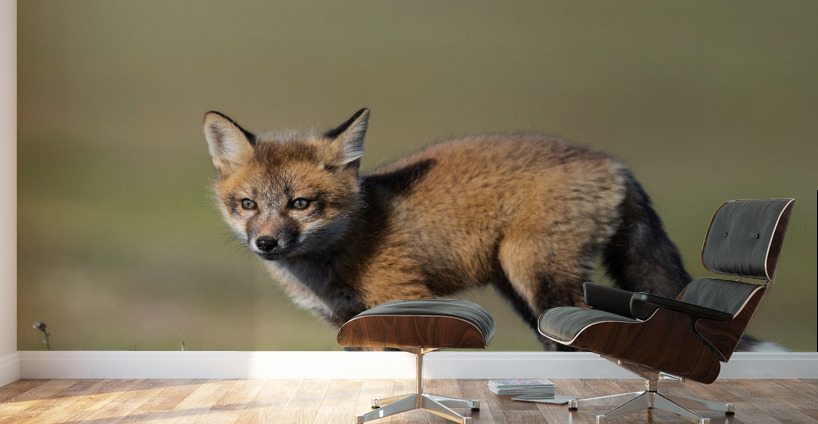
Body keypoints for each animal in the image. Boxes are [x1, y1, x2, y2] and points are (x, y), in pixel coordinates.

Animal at [203, 108, 692, 349]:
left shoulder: (407, 300)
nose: (266, 243)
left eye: (300, 204)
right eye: (247, 204)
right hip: (522, 294)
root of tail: (613, 162)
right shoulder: (348, 323)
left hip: (538, 277)